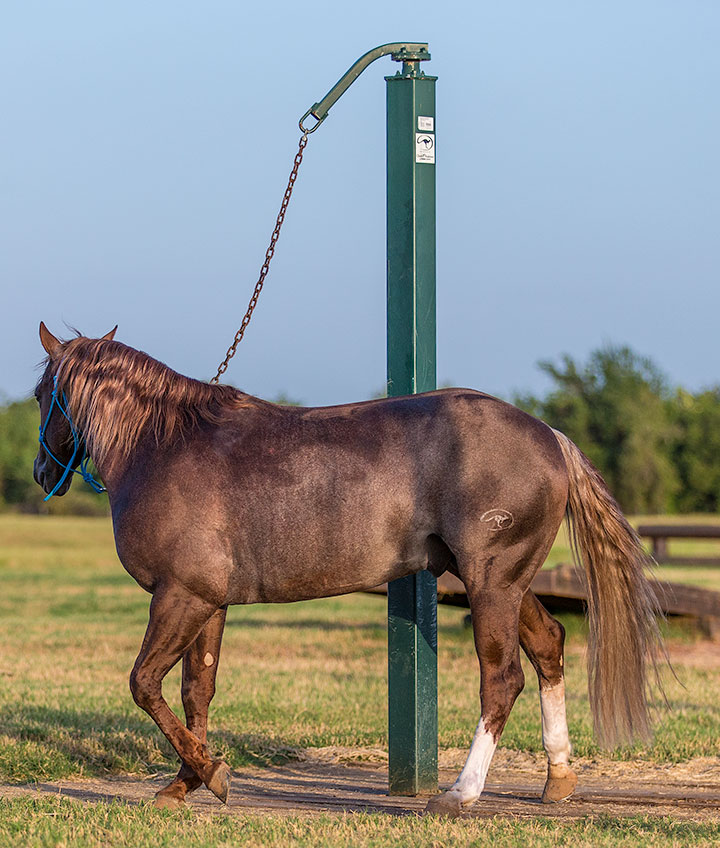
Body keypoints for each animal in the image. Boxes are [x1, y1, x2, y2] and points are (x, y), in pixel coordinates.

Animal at [33, 324, 664, 816]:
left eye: (43, 393)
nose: (42, 472)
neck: (163, 446)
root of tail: (550, 437)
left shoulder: (179, 597)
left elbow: (144, 684)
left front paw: (211, 774)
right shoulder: (208, 602)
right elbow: (196, 693)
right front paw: (189, 779)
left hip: (491, 582)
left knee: (502, 677)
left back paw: (459, 793)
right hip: (509, 583)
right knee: (549, 645)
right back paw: (558, 776)